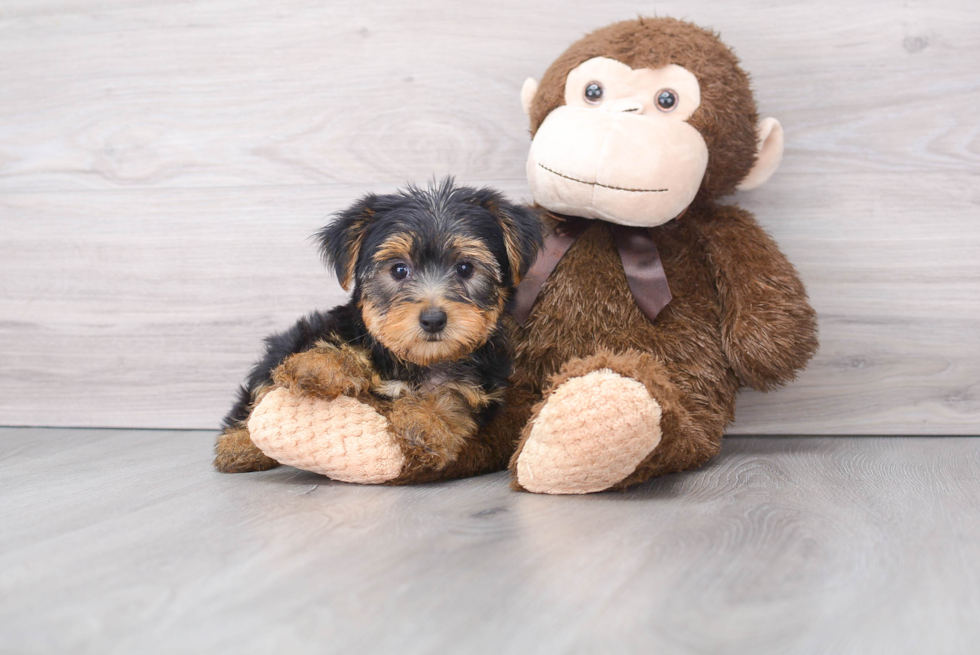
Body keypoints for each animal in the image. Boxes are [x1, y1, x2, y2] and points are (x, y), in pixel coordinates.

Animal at [213, 179, 544, 476]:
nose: (433, 319)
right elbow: (342, 348)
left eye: (465, 268)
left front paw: (425, 422)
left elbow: (454, 398)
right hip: (290, 340)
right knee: (255, 393)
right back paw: (239, 446)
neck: (417, 361)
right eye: (398, 269)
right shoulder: (340, 332)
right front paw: (317, 366)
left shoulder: (482, 386)